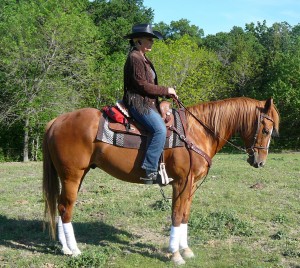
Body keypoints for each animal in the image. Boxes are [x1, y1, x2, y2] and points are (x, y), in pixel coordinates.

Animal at [43, 96, 280, 264]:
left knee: (61, 206)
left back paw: (65, 248)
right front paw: (175, 254)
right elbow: (176, 215)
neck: (197, 132)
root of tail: (57, 121)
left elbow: (184, 215)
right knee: (65, 208)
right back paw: (74, 250)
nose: (260, 162)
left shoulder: (190, 184)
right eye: (266, 130)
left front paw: (186, 250)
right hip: (72, 175)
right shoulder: (181, 182)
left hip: (74, 176)